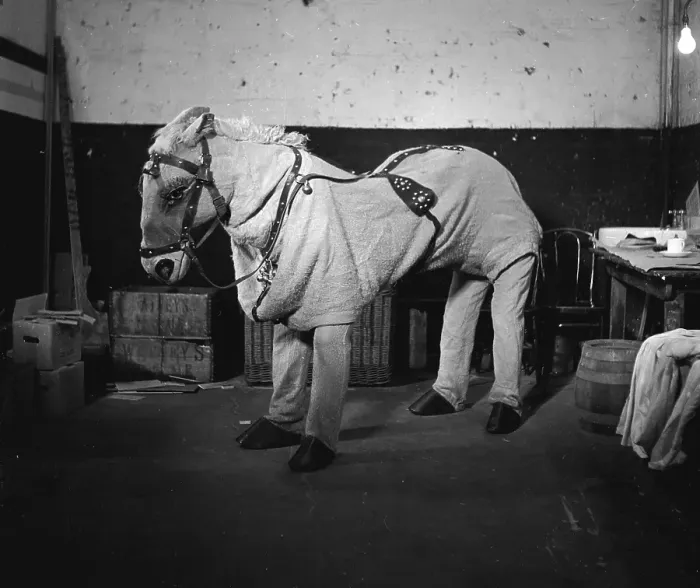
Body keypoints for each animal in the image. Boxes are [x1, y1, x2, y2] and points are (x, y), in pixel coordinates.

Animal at [139, 106, 542, 472]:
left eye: (176, 193)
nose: (157, 266)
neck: (283, 205)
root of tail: (493, 165)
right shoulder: (290, 305)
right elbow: (287, 373)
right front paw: (273, 428)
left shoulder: (332, 315)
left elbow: (326, 386)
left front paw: (314, 449)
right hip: (468, 264)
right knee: (461, 317)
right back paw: (441, 399)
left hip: (514, 257)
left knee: (507, 323)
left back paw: (504, 410)